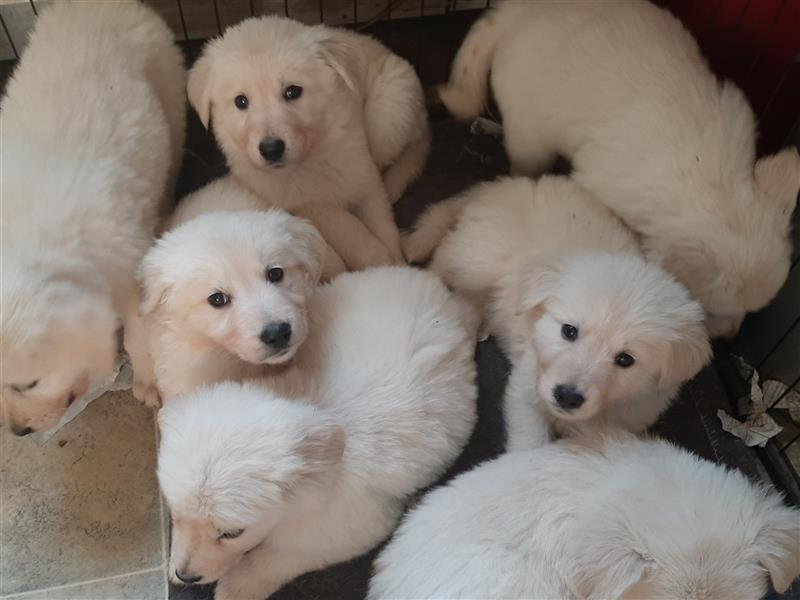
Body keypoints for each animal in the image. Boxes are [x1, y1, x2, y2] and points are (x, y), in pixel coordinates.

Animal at [0, 0, 186, 434]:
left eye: (28, 383)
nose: (18, 431)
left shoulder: (131, 275)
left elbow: (138, 337)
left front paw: (147, 383)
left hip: (171, 97)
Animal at [159, 268, 478, 600]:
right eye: (175, 515)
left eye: (231, 533)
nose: (186, 574)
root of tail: (424, 277)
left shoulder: (349, 526)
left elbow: (280, 556)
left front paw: (237, 586)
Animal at [188, 16, 432, 270]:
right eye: (241, 101)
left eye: (293, 91)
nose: (271, 149)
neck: (311, 156)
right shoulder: (299, 201)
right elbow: (347, 226)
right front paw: (379, 259)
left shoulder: (362, 172)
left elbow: (381, 221)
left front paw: (396, 264)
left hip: (390, 108)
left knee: (415, 146)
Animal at [404, 176, 708, 442]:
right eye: (569, 331)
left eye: (625, 359)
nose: (567, 396)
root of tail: (503, 185)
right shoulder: (526, 390)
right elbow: (530, 442)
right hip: (475, 257)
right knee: (443, 260)